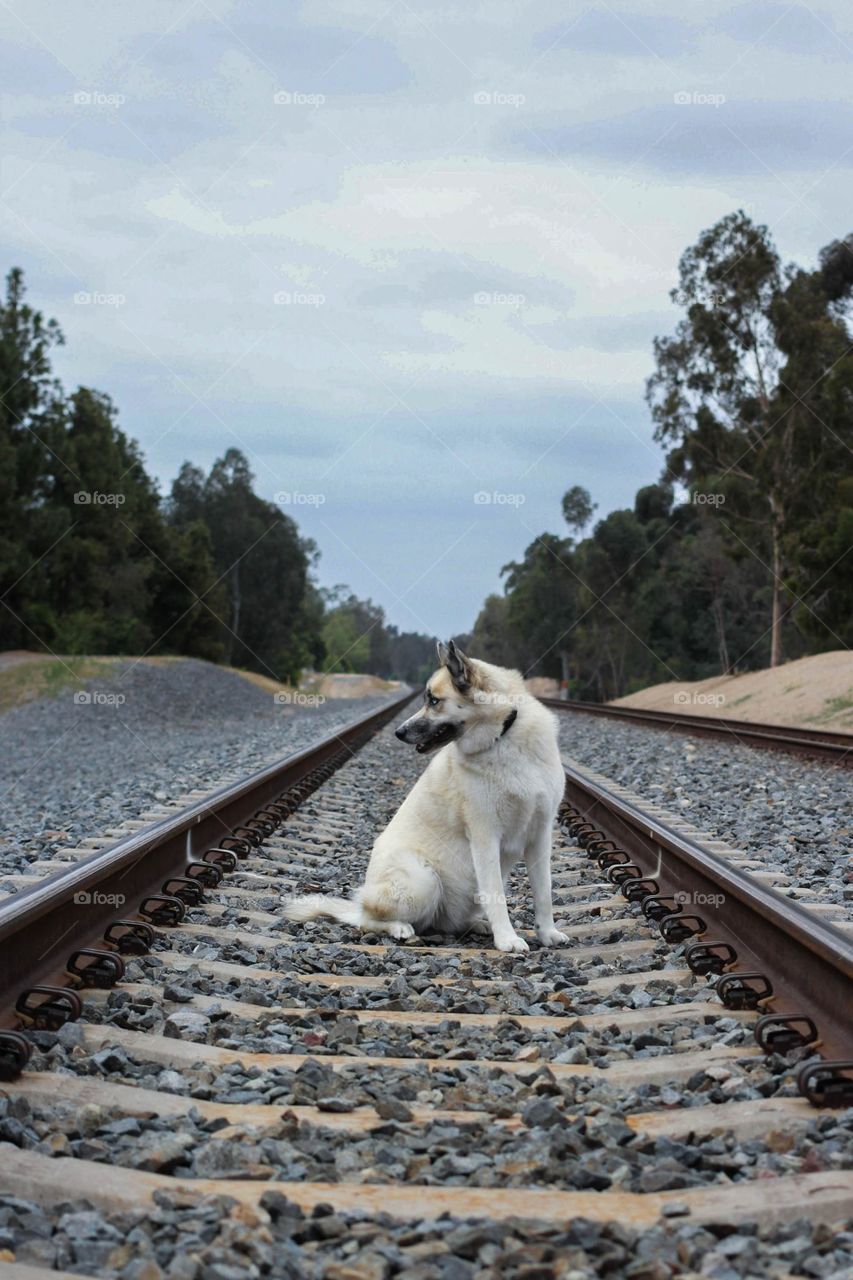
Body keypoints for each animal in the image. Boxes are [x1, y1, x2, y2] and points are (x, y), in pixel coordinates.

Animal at [281, 640, 568, 952]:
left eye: (434, 701)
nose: (398, 732)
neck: (504, 734)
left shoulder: (540, 835)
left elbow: (544, 893)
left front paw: (547, 933)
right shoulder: (485, 837)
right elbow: (496, 895)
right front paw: (507, 939)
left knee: (443, 922)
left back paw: (476, 925)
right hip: (424, 879)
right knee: (368, 919)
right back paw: (400, 928)